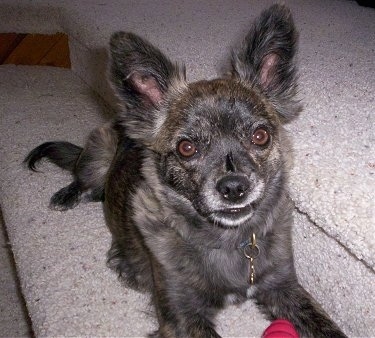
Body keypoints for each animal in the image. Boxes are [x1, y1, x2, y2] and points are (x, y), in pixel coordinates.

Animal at [25, 5, 346, 338]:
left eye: (260, 136)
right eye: (186, 148)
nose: (234, 187)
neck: (228, 240)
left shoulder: (283, 287)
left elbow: (327, 327)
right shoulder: (182, 315)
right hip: (98, 147)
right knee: (85, 181)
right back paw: (68, 196)